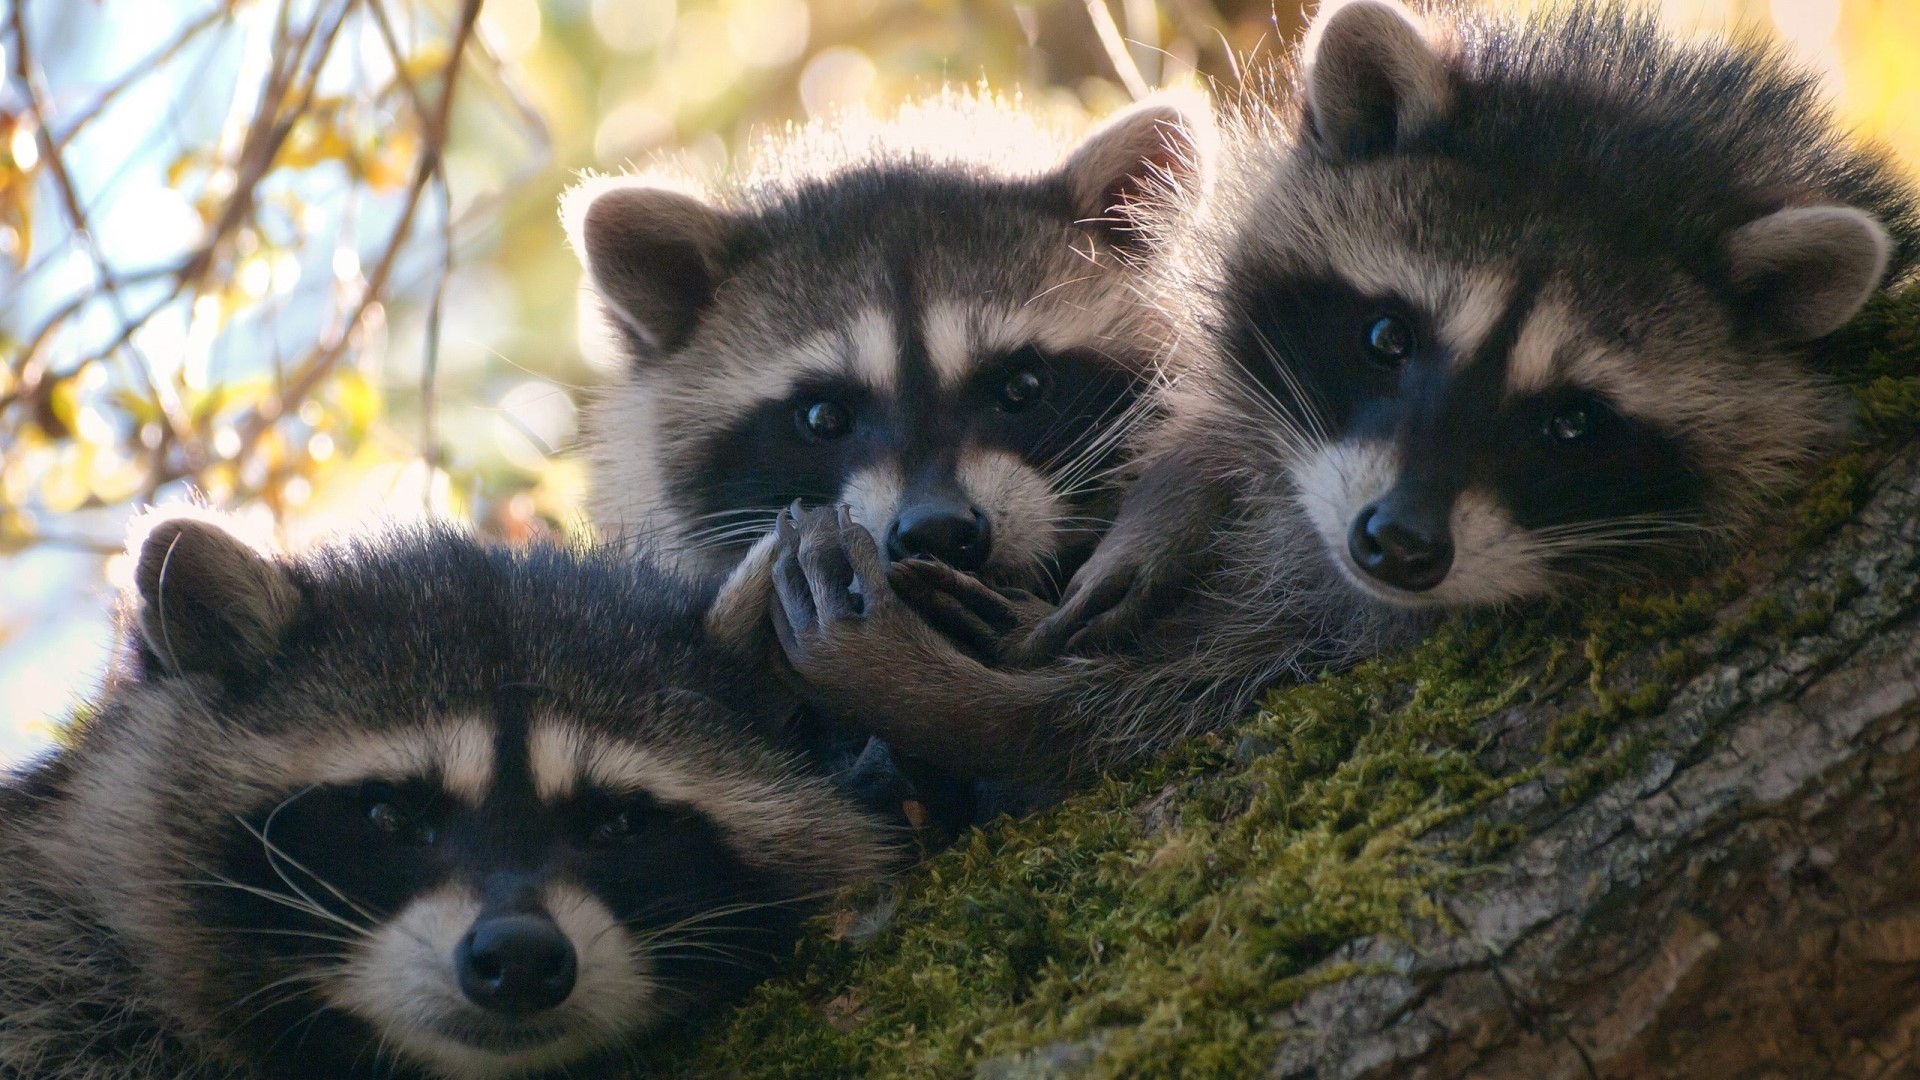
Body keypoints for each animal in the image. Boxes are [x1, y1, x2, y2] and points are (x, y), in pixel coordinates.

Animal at [760, 1, 1919, 784]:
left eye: (1572, 420)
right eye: (1386, 338)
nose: (1397, 544)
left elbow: (1159, 711)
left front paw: (970, 708)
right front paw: (1174, 499)